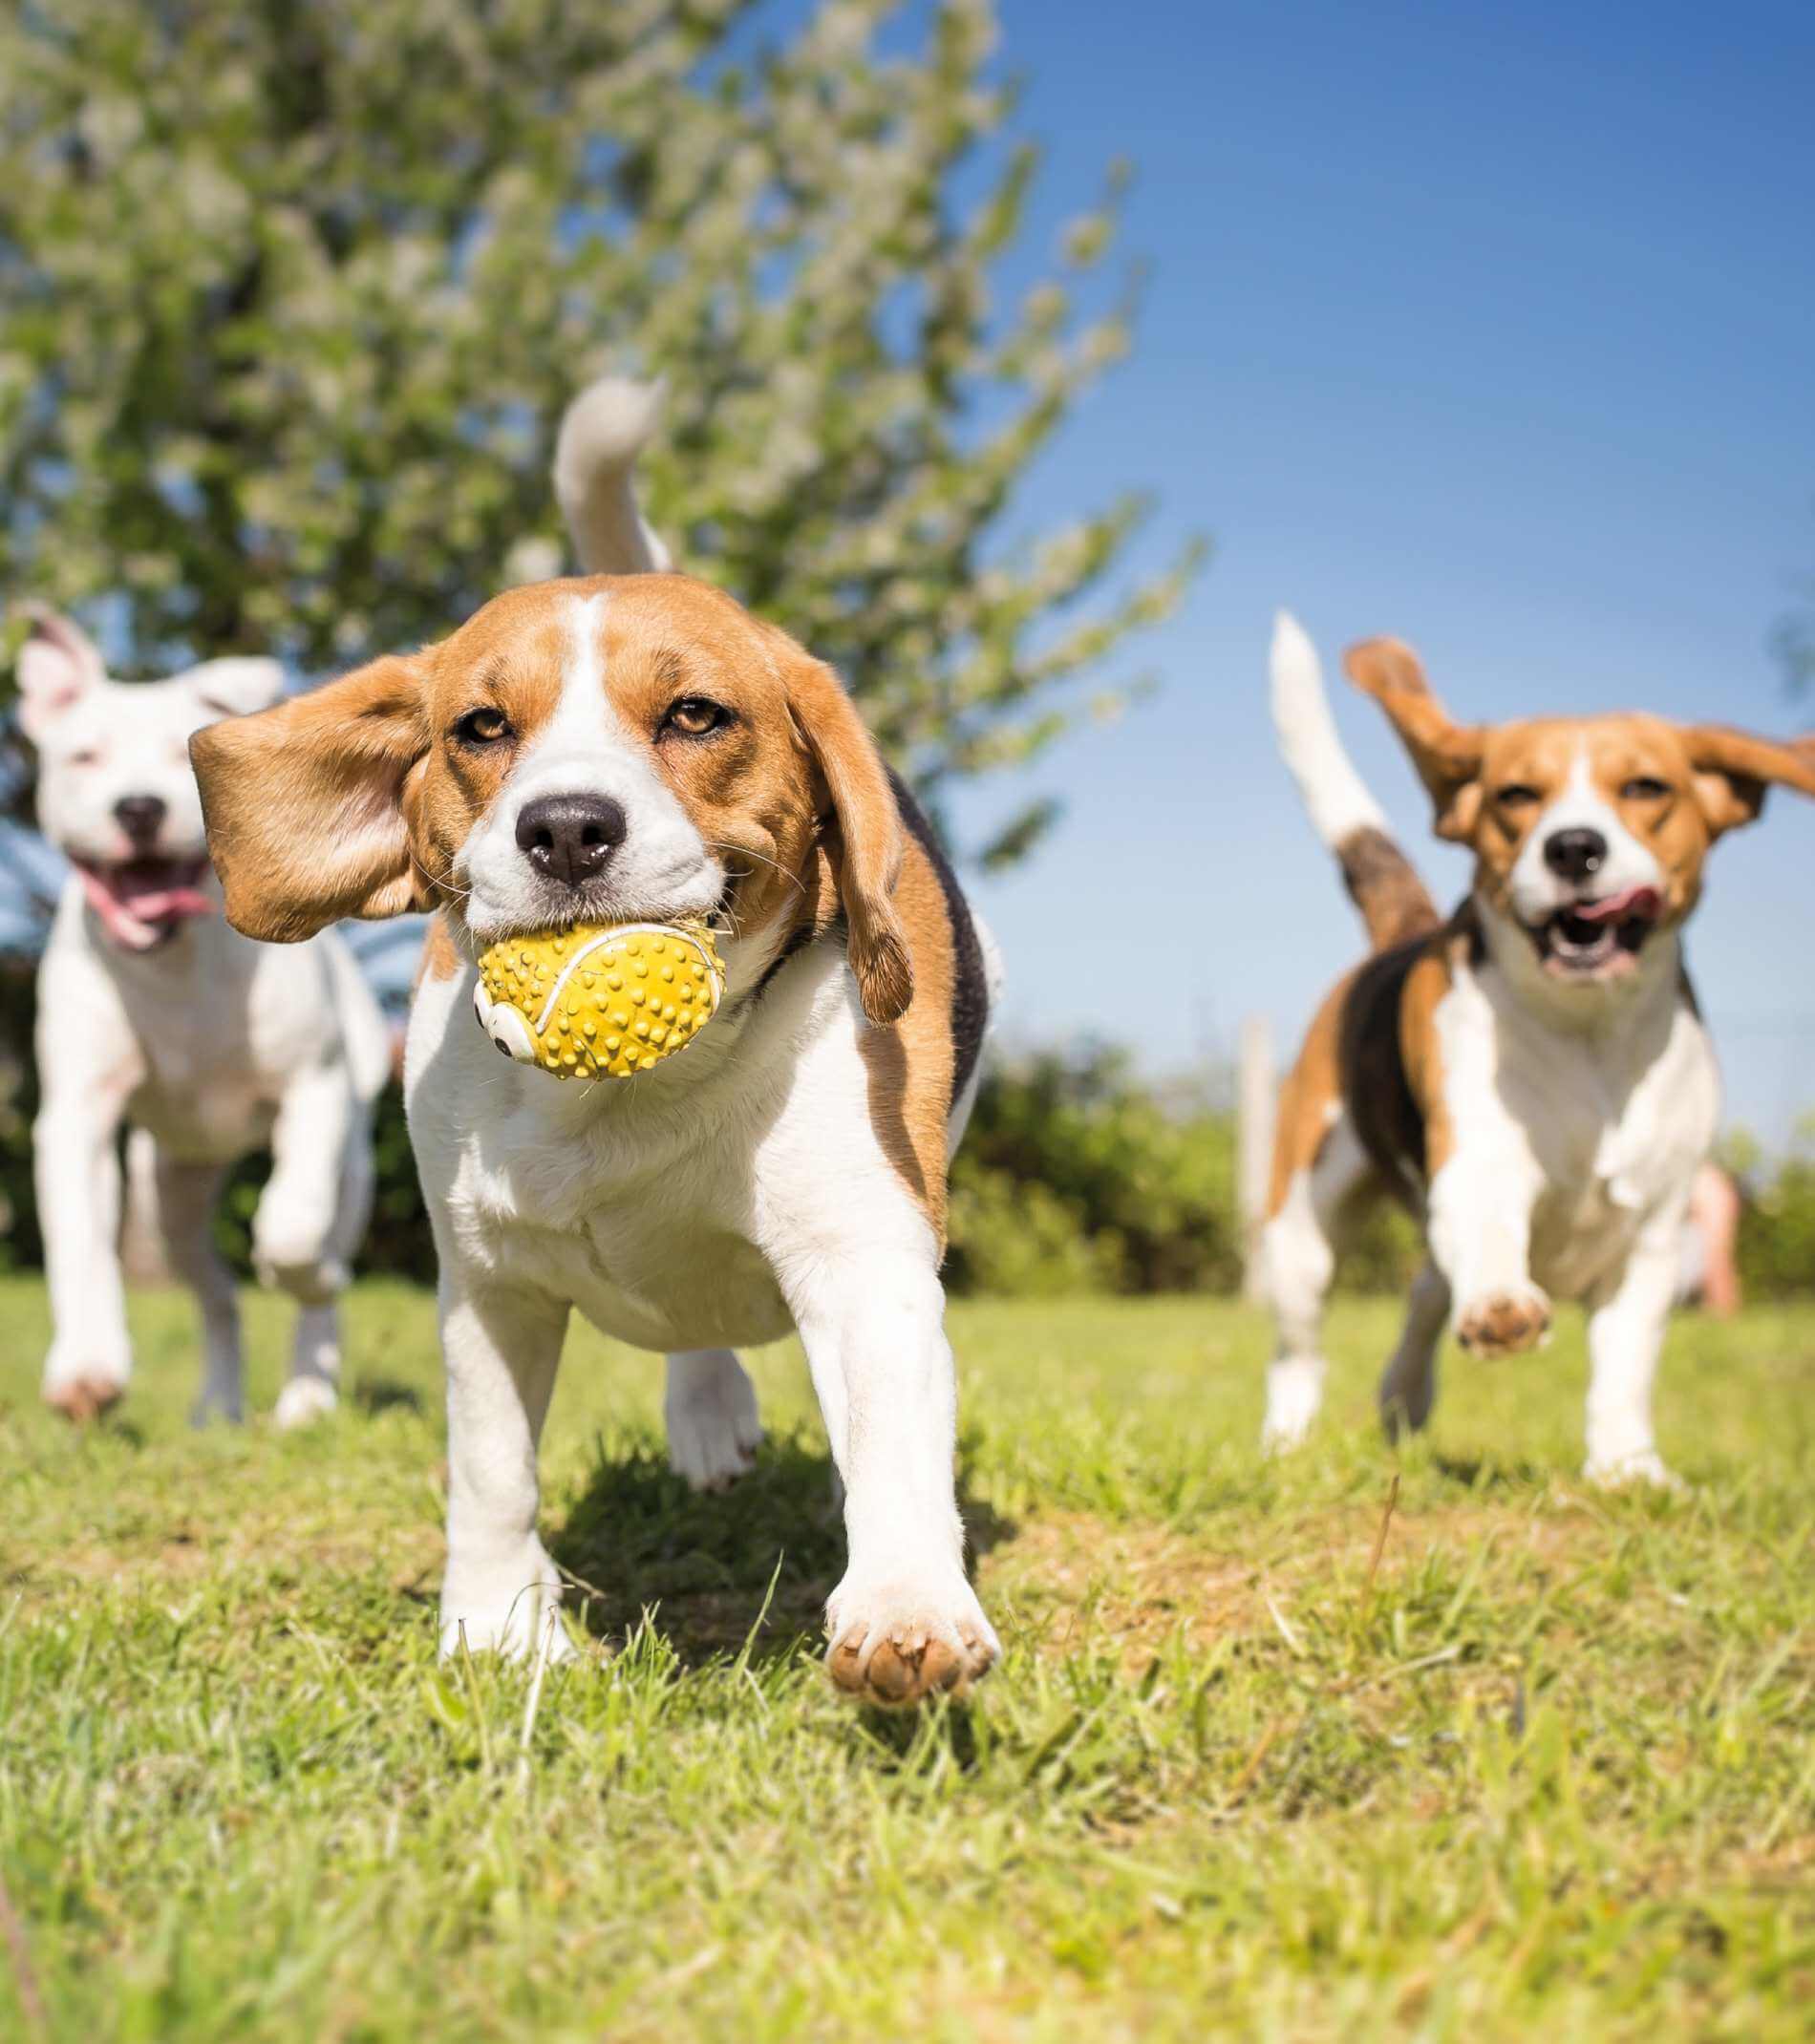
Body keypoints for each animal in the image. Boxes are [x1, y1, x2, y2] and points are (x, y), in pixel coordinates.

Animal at [19, 605, 390, 1422]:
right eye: (84, 756)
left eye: (178, 755)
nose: (139, 807)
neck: (175, 963)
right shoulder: (76, 1116)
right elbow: (79, 1245)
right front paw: (86, 1367)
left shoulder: (312, 1091)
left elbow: (291, 1228)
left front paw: (303, 1272)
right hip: (171, 1195)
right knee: (216, 1294)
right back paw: (218, 1406)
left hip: (352, 1160)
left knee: (319, 1264)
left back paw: (307, 1396)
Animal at [191, 386, 1001, 1709]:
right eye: (480, 727)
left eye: (694, 715)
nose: (567, 827)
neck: (623, 1096)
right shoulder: (487, 1284)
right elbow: (491, 1469)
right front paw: (494, 1629)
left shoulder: (862, 1253)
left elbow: (889, 1438)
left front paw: (904, 1605)